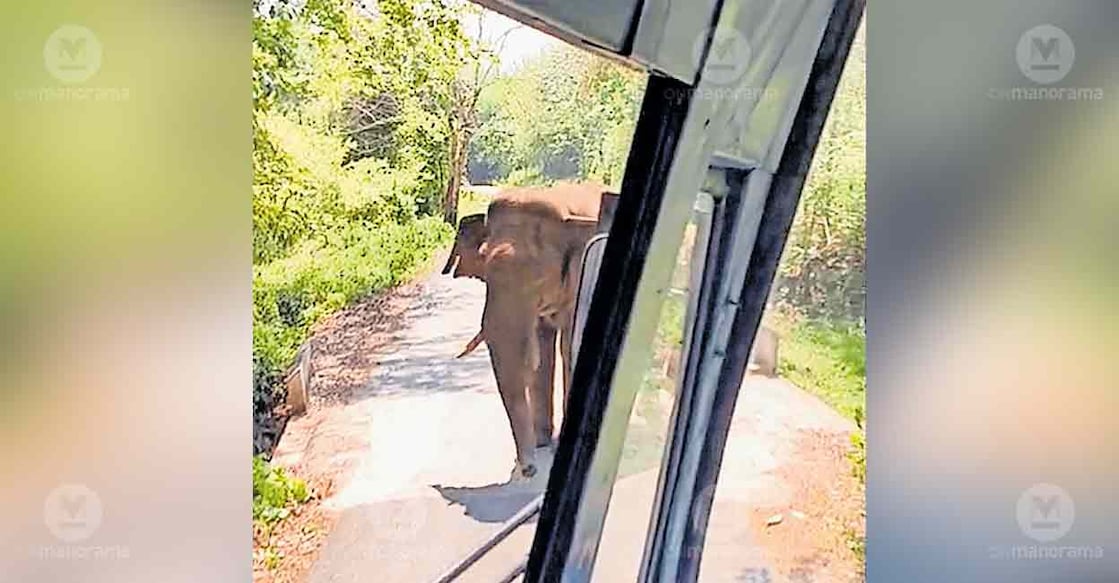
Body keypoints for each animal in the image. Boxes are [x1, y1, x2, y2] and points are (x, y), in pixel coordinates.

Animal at [442, 182, 605, 478]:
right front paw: (542, 444)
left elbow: (567, 345)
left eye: (539, 275)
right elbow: (540, 350)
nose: (527, 468)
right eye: (483, 261)